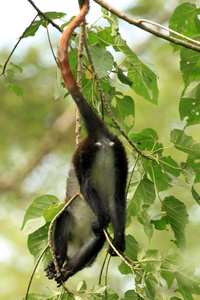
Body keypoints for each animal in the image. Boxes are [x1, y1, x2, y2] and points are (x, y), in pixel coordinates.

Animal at [44, 0, 127, 284]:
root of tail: (101, 136)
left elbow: (64, 217)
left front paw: (56, 262)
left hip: (85, 154)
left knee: (82, 200)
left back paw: (63, 263)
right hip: (120, 157)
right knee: (117, 199)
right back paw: (116, 239)